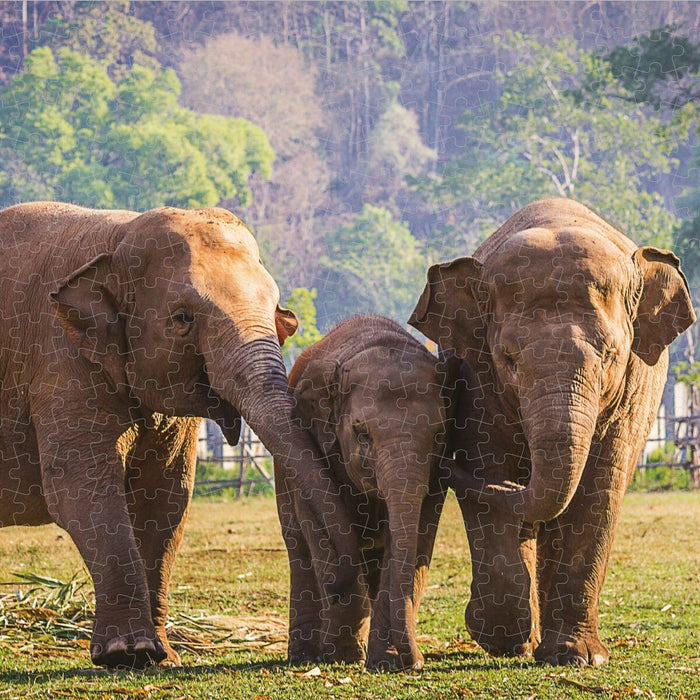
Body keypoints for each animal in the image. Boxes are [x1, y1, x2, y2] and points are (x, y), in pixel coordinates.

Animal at [0, 201, 356, 669]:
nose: (339, 585)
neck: (119, 236)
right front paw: (127, 652)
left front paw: (162, 656)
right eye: (183, 319)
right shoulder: (60, 360)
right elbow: (80, 489)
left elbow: (166, 496)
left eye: (276, 308)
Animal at [278, 315, 457, 671]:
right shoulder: (313, 441)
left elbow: (418, 534)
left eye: (438, 435)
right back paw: (306, 655)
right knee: (300, 550)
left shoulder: (437, 473)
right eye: (362, 433)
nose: (417, 663)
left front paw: (386, 662)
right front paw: (341, 655)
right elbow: (323, 527)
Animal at [409, 198, 695, 666]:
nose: (444, 465)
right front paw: (502, 638)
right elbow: (490, 468)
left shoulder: (635, 386)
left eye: (611, 355)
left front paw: (578, 658)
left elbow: (599, 491)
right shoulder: (476, 377)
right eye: (509, 358)